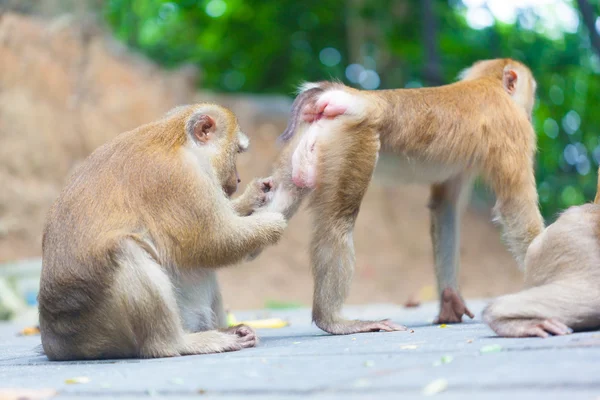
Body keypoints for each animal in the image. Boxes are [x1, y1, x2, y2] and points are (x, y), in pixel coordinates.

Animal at [38, 102, 288, 360]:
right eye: (237, 151)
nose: (237, 179)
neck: (178, 140)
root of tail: (56, 342)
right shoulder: (182, 178)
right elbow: (213, 242)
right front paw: (272, 224)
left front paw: (253, 196)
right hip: (100, 330)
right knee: (125, 249)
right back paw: (177, 343)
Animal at [258, 58, 544, 334]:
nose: (530, 112)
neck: (488, 82)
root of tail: (353, 97)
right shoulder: (513, 128)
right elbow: (515, 206)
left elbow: (445, 207)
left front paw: (450, 299)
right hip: (354, 138)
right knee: (337, 222)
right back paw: (333, 321)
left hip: (307, 140)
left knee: (279, 203)